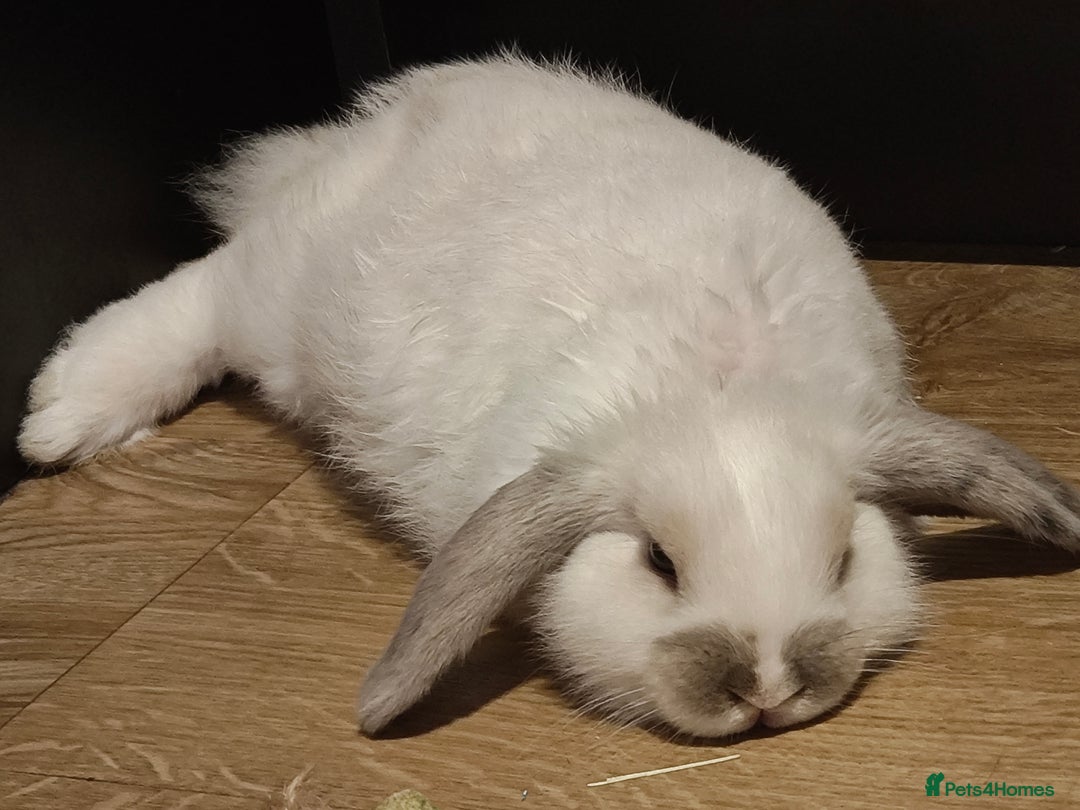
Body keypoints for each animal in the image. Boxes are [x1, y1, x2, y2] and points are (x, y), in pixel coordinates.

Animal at [18, 54, 1080, 738]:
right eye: (658, 562)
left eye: (844, 557)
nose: (768, 685)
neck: (712, 390)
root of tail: (391, 118)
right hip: (283, 304)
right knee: (205, 289)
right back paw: (59, 415)